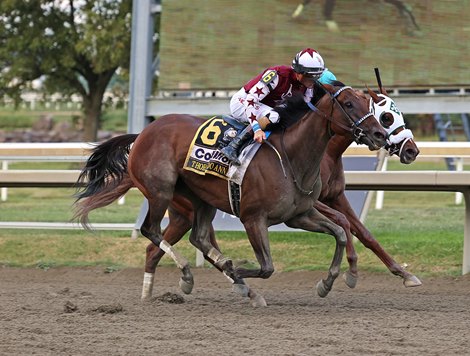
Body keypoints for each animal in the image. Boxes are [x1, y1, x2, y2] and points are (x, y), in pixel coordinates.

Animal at [74, 81, 386, 306]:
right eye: (349, 103)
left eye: (369, 104)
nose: (380, 134)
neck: (291, 157)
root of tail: (143, 133)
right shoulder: (253, 218)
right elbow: (267, 267)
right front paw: (237, 273)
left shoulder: (300, 214)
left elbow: (340, 232)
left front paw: (329, 282)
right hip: (160, 192)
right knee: (151, 231)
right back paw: (192, 274)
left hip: (200, 200)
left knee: (196, 238)